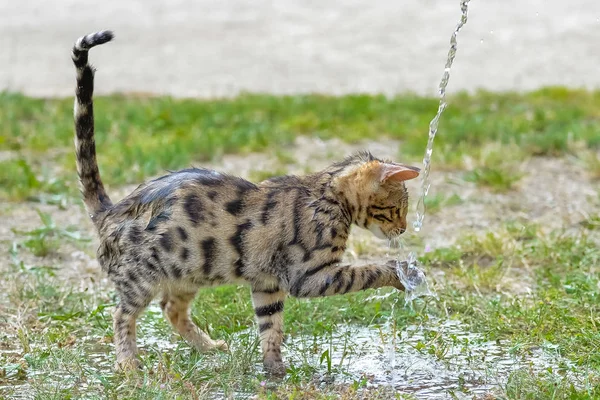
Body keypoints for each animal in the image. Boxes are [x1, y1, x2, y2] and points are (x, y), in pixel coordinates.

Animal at [72, 28, 420, 376]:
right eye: (398, 210)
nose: (404, 230)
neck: (328, 195)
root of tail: (110, 210)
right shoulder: (309, 276)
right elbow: (368, 271)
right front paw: (401, 272)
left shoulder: (268, 283)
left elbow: (270, 326)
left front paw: (273, 368)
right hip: (143, 278)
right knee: (121, 315)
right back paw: (128, 363)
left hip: (187, 271)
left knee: (171, 309)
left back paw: (208, 347)